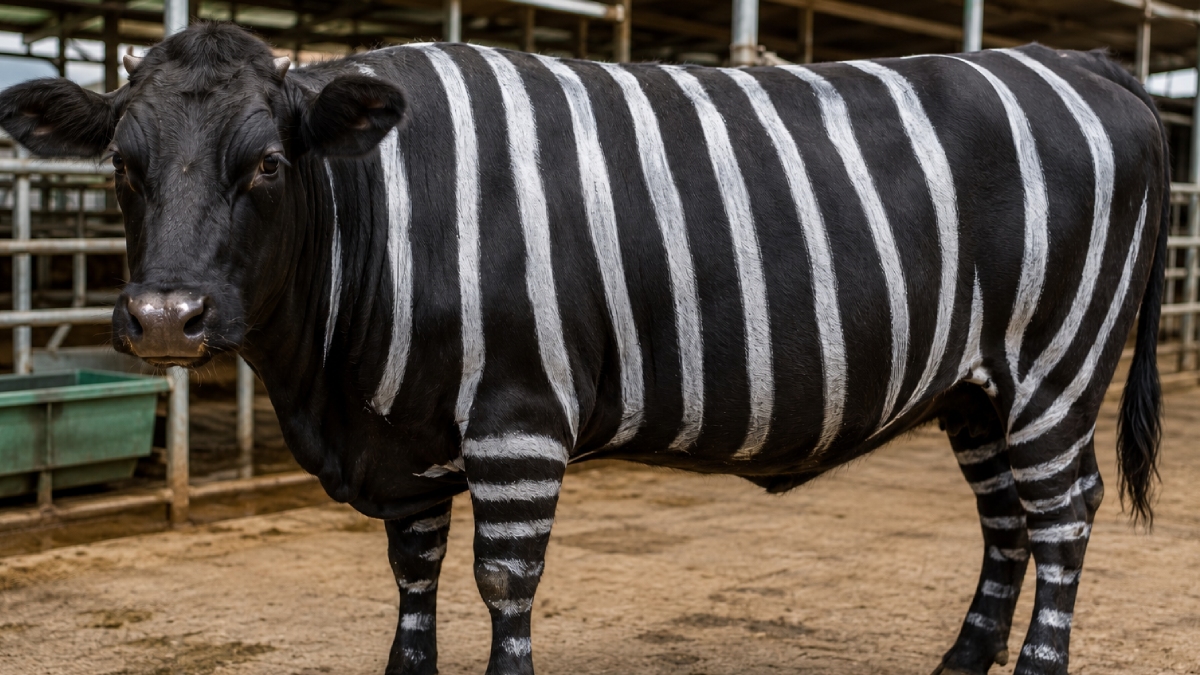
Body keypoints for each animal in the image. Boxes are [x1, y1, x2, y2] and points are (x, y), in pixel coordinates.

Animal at [0, 22, 1166, 675]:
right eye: (122, 167)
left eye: (268, 167)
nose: (165, 318)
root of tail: (1082, 61)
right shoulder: (407, 436)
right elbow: (413, 583)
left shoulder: (516, 421)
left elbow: (503, 585)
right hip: (978, 386)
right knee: (1007, 522)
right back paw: (962, 659)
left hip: (1055, 367)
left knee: (1063, 515)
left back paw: (1034, 665)